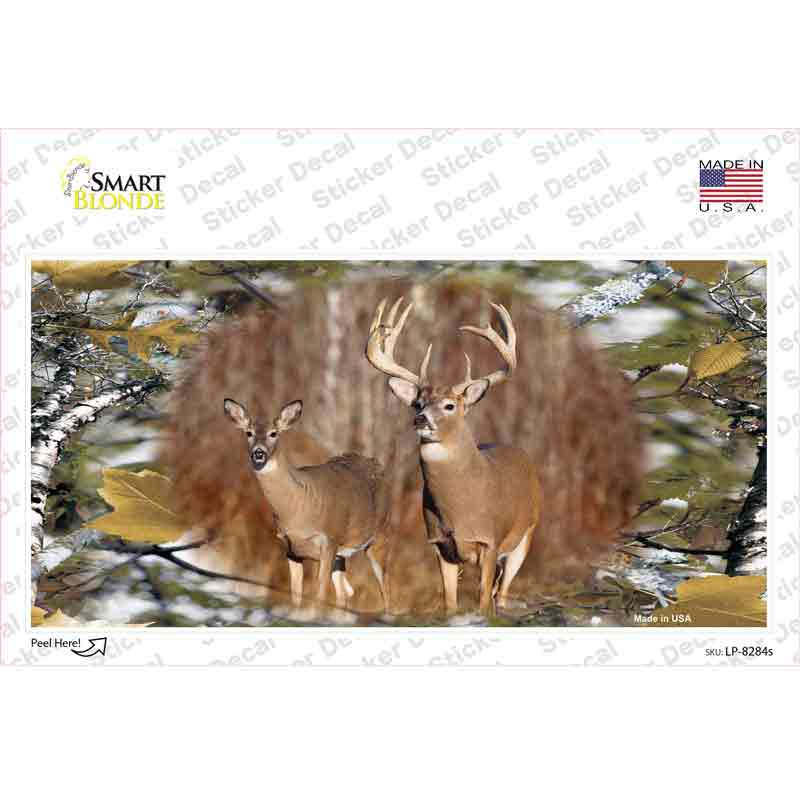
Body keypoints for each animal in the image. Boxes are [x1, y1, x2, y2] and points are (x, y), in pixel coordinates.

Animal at [223, 397, 391, 616]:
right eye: (248, 433)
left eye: (273, 433)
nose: (258, 453)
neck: (298, 508)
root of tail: (377, 465)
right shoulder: (291, 548)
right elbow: (296, 593)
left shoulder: (329, 540)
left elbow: (320, 593)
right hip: (341, 554)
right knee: (346, 592)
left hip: (380, 535)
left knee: (384, 587)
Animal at [365, 297, 541, 616]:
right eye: (417, 403)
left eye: (449, 405)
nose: (420, 419)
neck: (459, 509)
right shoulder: (440, 544)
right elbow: (450, 601)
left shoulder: (490, 540)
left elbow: (482, 600)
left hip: (526, 535)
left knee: (502, 592)